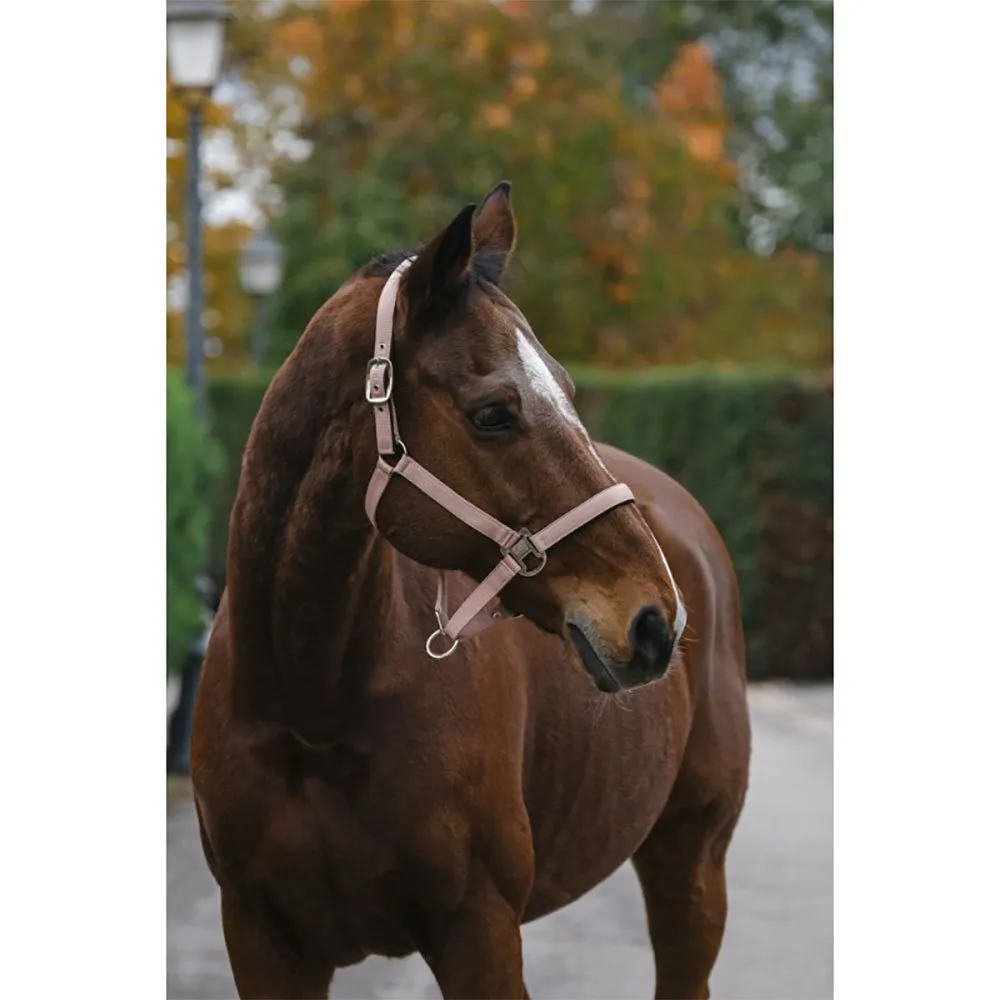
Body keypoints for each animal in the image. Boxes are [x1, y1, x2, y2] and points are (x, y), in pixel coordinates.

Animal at [190, 181, 751, 1000]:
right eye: (493, 412)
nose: (654, 622)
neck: (311, 708)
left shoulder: (479, 930)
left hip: (693, 863)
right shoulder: (263, 942)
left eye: (570, 391)